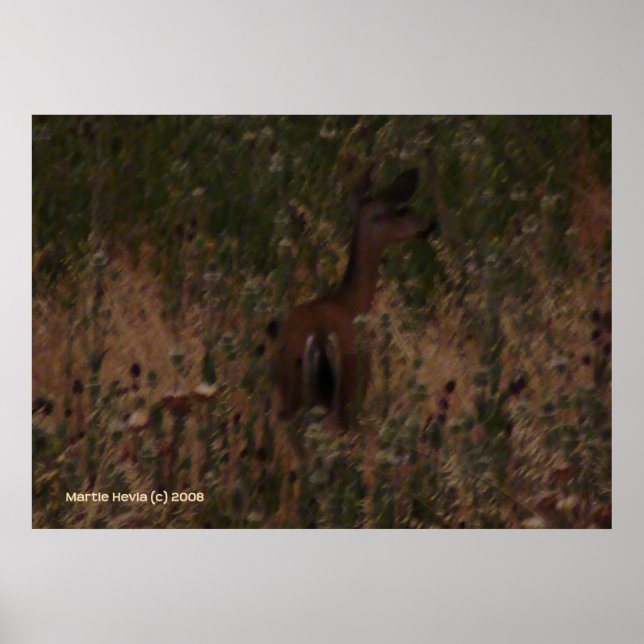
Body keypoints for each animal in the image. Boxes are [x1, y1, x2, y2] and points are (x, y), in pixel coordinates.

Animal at [271, 166, 432, 430]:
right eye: (401, 210)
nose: (429, 224)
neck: (351, 302)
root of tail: (320, 338)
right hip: (348, 392)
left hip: (293, 398)